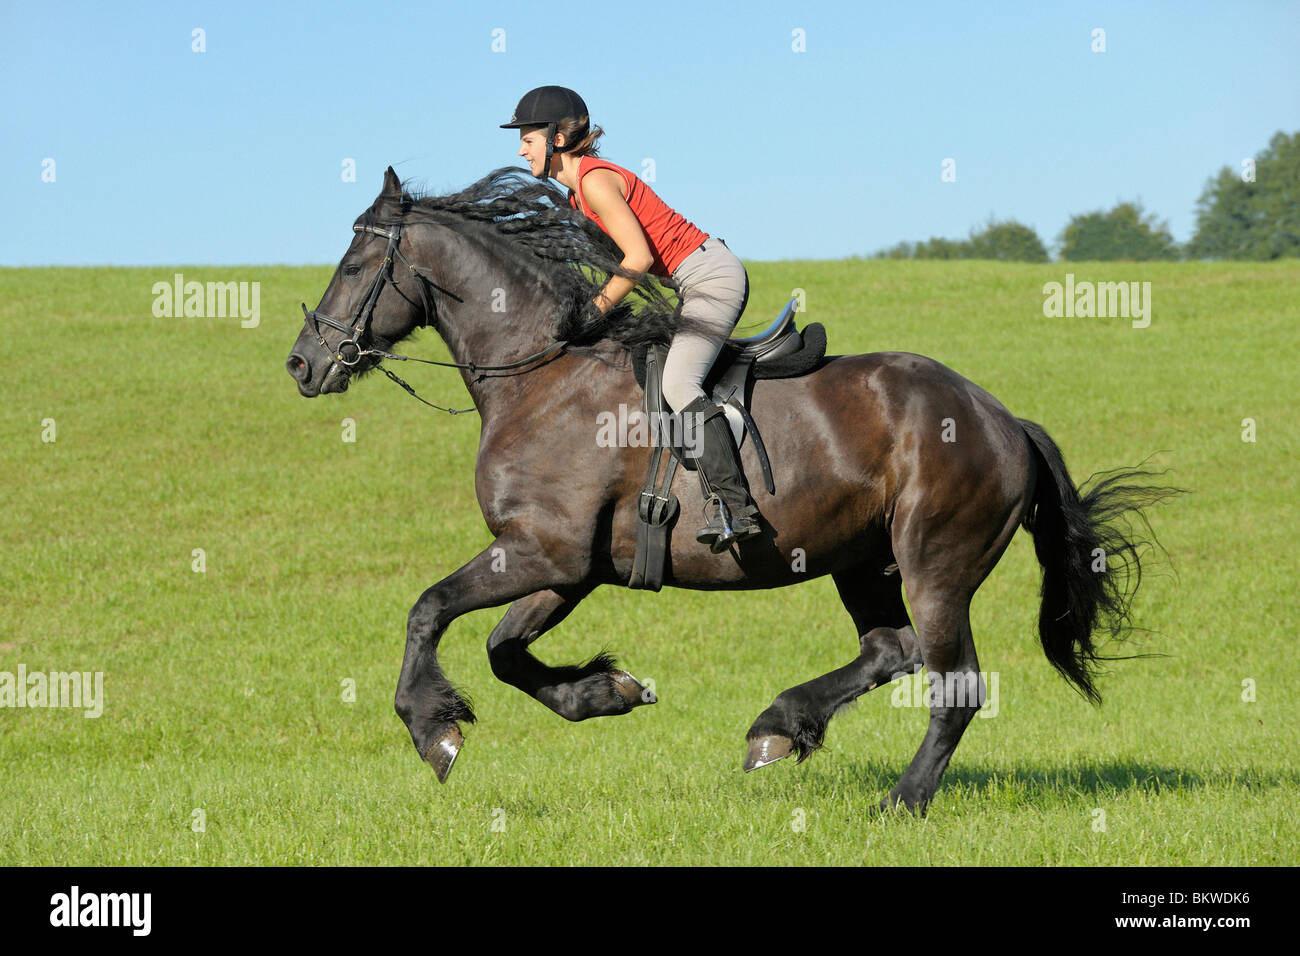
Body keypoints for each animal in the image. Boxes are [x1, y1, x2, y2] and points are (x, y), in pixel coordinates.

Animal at [284, 167, 1180, 811]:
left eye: (354, 263)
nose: (302, 364)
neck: (542, 372)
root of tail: (1003, 419)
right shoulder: (568, 566)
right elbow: (505, 651)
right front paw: (607, 692)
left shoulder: (542, 551)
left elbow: (428, 610)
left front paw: (433, 731)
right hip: (863, 558)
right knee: (890, 651)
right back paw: (779, 729)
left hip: (937, 563)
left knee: (952, 684)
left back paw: (899, 800)